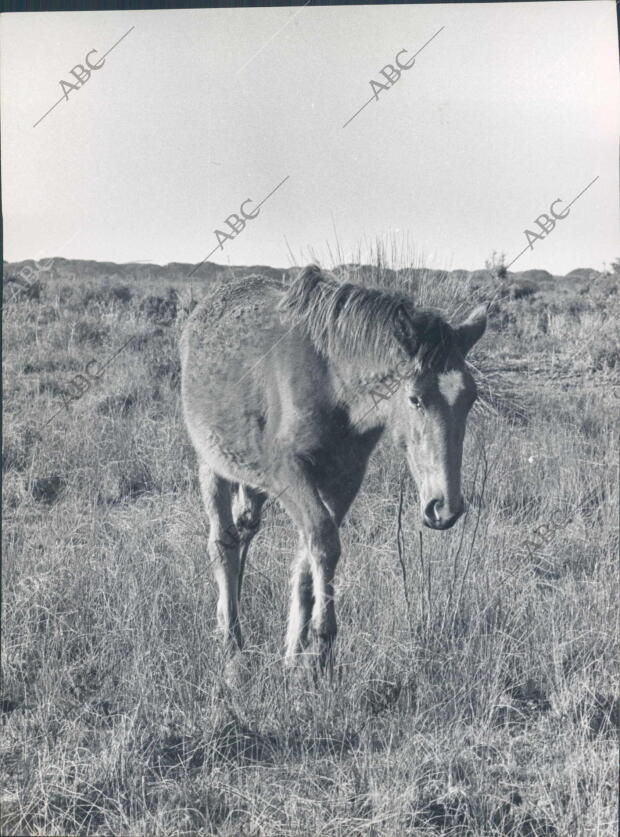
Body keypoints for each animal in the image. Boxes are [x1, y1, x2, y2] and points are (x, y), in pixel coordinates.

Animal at [180, 264, 486, 669]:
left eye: (471, 398)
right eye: (415, 399)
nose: (445, 507)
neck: (332, 382)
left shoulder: (344, 478)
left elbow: (307, 560)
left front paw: (294, 656)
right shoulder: (289, 473)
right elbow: (323, 543)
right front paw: (320, 647)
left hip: (251, 482)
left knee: (244, 531)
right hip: (212, 466)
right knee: (223, 544)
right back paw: (231, 642)